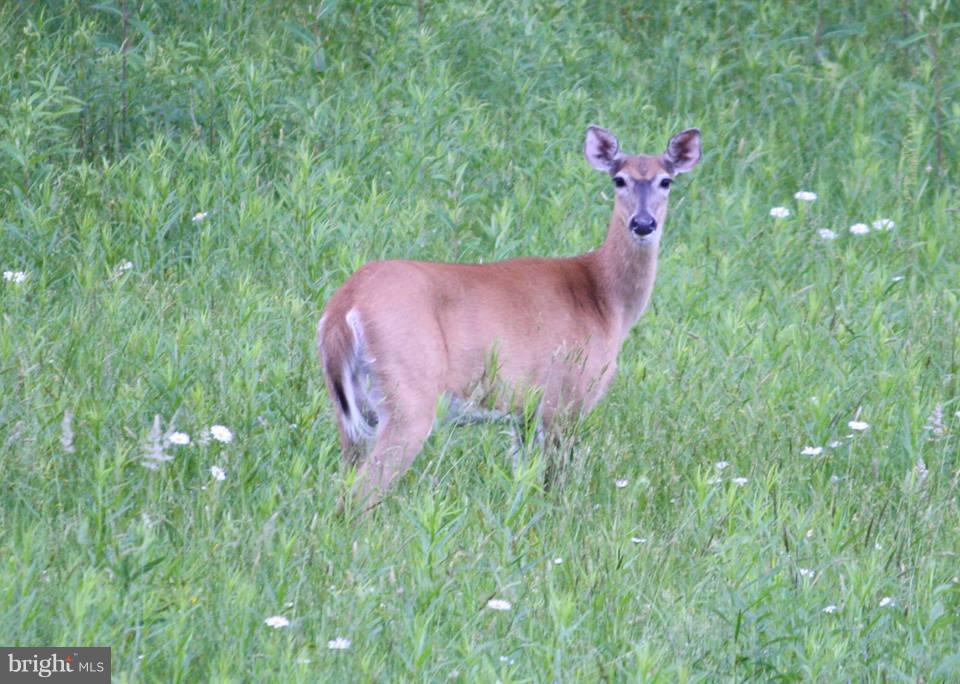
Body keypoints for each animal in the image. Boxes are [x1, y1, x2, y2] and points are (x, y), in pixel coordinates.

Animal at [318, 125, 701, 511]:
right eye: (619, 179)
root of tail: (345, 305)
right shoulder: (566, 397)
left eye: (666, 181)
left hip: (350, 412)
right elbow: (554, 484)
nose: (643, 223)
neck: (605, 300)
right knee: (359, 496)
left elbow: (523, 481)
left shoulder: (525, 414)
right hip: (408, 396)